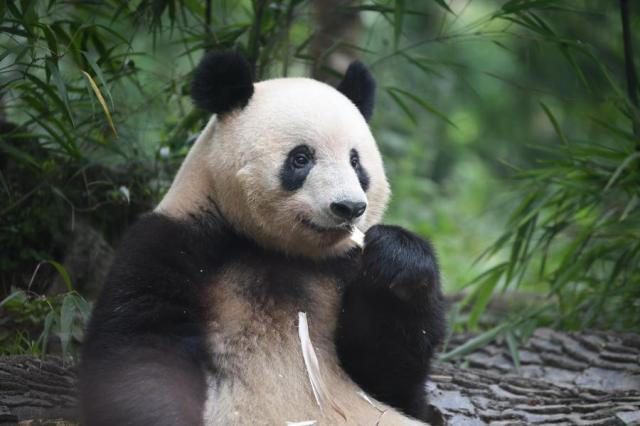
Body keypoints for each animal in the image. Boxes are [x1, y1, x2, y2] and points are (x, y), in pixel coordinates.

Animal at [79, 51, 446, 426]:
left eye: (356, 162)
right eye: (301, 158)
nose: (349, 207)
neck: (279, 251)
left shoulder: (342, 267)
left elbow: (386, 370)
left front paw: (396, 259)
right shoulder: (174, 243)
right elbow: (141, 351)